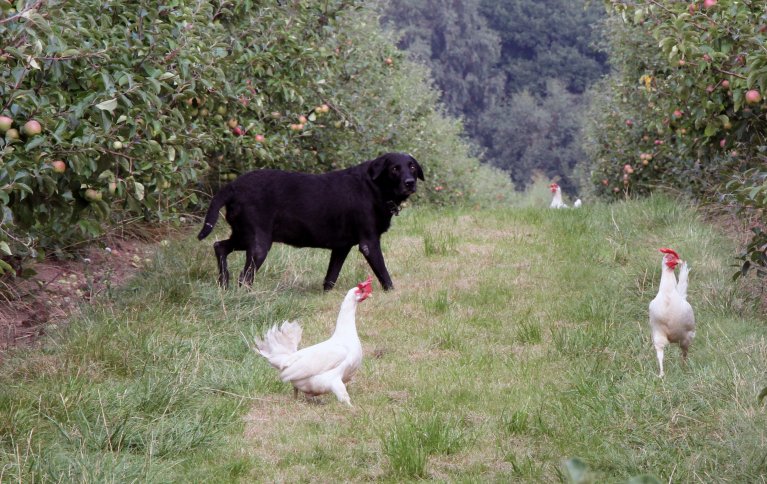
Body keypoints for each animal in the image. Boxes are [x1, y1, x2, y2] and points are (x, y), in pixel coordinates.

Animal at [198, 153, 424, 292]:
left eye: (412, 166)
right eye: (394, 169)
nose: (410, 183)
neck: (374, 187)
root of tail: (233, 186)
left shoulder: (341, 248)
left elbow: (330, 277)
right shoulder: (369, 243)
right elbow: (384, 274)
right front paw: (392, 293)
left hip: (243, 235)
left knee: (219, 246)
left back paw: (223, 284)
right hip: (258, 243)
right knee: (244, 277)